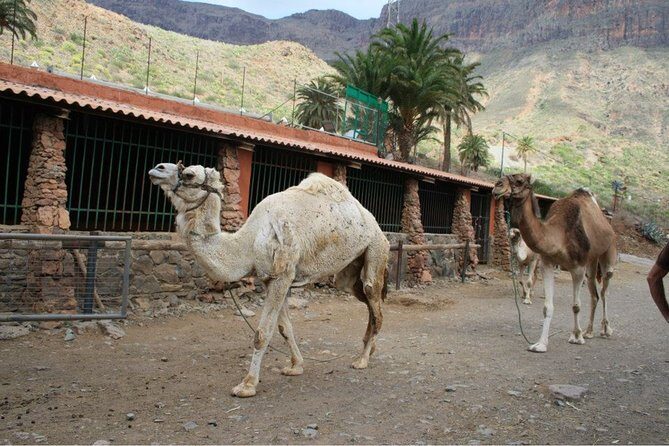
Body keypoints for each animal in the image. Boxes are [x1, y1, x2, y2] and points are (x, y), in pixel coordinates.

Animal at [148, 162, 389, 397]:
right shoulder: (269, 279)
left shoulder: (282, 276)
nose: (157, 168)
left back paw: (362, 359)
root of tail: (376, 225)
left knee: (374, 301)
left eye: (189, 174)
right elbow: (284, 328)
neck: (249, 241)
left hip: (375, 248)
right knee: (366, 300)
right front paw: (295, 366)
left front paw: (247, 385)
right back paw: (370, 348)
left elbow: (262, 333)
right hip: (349, 273)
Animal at [493, 173, 616, 353]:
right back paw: (589, 331)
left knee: (605, 290)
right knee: (595, 295)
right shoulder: (547, 264)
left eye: (520, 181)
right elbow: (547, 307)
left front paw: (576, 336)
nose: (497, 186)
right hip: (592, 262)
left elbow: (576, 305)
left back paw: (605, 330)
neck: (559, 236)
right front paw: (540, 344)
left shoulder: (578, 268)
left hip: (607, 252)